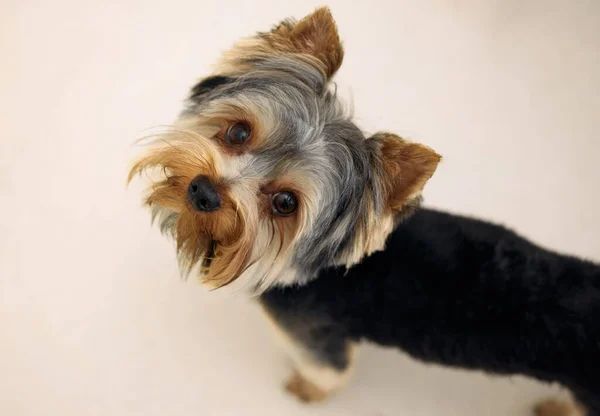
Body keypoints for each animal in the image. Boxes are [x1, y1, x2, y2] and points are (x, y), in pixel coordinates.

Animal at [130, 6, 600, 416]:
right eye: (238, 132)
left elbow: (330, 374)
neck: (315, 270)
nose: (203, 192)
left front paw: (304, 390)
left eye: (285, 204)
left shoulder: (316, 338)